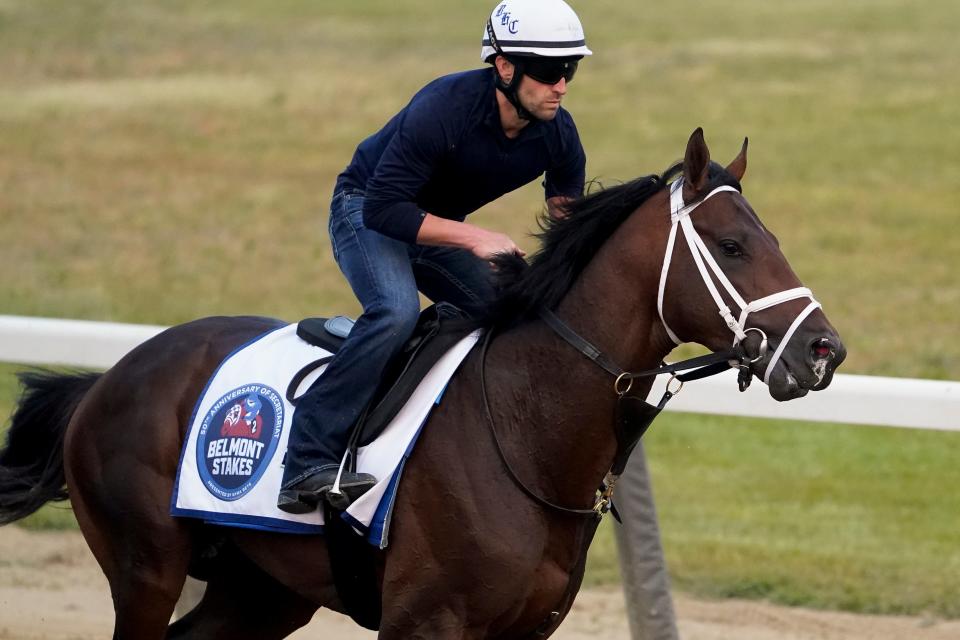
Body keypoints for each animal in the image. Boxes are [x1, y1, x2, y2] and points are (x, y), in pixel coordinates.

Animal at [0, 129, 844, 636]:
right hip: (146, 567)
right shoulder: (425, 621)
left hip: (260, 589)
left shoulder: (526, 627)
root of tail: (105, 381)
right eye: (733, 245)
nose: (824, 350)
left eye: (771, 237)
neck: (527, 425)